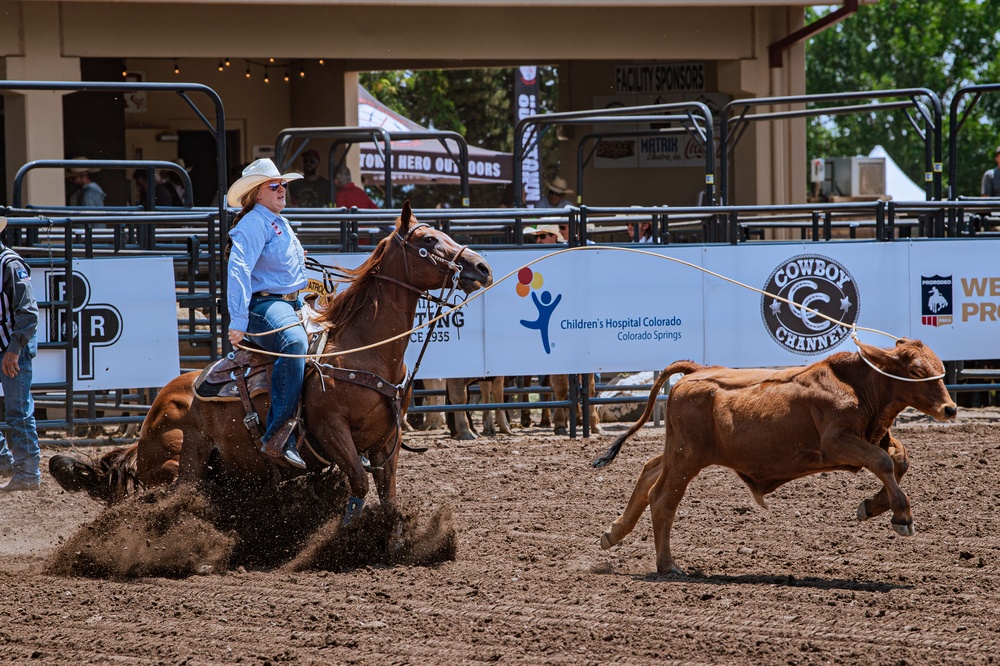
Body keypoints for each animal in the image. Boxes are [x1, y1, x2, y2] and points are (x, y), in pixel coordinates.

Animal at [50, 204, 496, 520]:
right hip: (182, 466)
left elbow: (387, 495)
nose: (483, 266)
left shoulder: (387, 440)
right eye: (429, 242)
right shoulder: (331, 429)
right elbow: (357, 483)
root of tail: (150, 416)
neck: (364, 351)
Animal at [592, 338, 960, 572]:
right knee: (662, 498)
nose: (950, 408)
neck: (857, 386)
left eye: (940, 367)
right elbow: (883, 462)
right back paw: (667, 565)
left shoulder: (875, 438)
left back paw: (613, 533)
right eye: (916, 372)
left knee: (649, 471)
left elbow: (899, 459)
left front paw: (872, 506)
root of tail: (696, 371)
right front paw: (902, 517)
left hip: (679, 452)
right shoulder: (837, 442)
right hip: (686, 456)